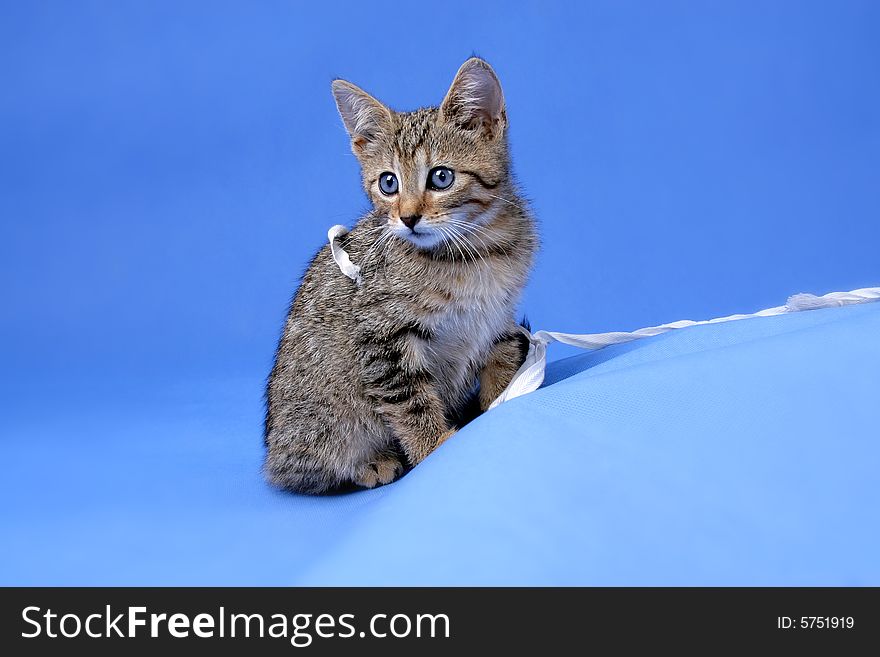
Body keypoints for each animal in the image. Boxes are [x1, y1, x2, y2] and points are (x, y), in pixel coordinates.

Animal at [262, 59, 536, 492]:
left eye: (441, 177)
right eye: (388, 183)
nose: (407, 218)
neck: (471, 250)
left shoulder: (498, 315)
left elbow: (503, 355)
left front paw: (501, 400)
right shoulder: (382, 338)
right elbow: (411, 402)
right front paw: (438, 448)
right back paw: (370, 463)